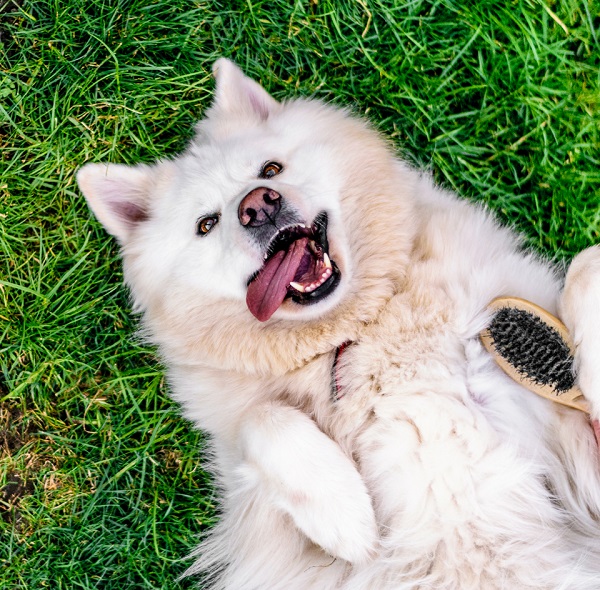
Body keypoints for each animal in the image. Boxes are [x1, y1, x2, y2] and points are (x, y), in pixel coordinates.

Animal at [77, 59, 600, 588]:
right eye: (206, 224)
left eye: (270, 169)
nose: (258, 205)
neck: (360, 327)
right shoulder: (275, 534)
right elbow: (262, 420)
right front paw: (345, 515)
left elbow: (586, 267)